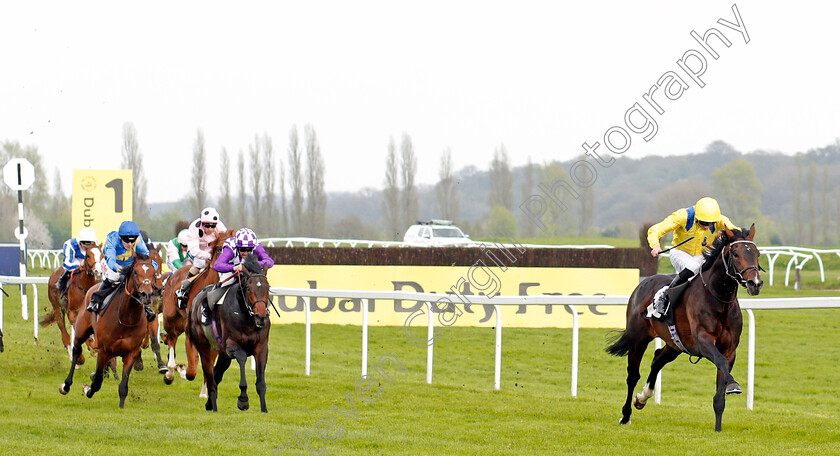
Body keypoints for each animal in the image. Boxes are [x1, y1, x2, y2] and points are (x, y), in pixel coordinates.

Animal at [59, 255, 161, 408]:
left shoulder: (131, 352)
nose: (146, 294)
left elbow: (123, 386)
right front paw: (87, 389)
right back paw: (66, 385)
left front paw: (121, 408)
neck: (126, 318)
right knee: (76, 351)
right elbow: (96, 383)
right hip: (81, 330)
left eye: (154, 273)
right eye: (135, 272)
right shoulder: (104, 350)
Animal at [160, 228, 233, 388]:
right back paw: (170, 373)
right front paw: (181, 370)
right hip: (170, 318)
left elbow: (209, 367)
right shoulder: (190, 334)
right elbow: (192, 371)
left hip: (180, 322)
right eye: (220, 249)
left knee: (171, 337)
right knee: (172, 339)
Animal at [187, 253, 272, 414]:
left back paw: (209, 404)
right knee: (210, 377)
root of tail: (195, 300)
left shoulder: (261, 347)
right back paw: (213, 405)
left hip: (223, 355)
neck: (247, 319)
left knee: (216, 374)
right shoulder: (231, 345)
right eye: (248, 288)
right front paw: (243, 400)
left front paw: (264, 409)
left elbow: (261, 382)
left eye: (267, 287)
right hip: (205, 347)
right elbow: (242, 357)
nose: (261, 317)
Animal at [608, 226, 764, 432]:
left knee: (657, 360)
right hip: (638, 339)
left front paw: (718, 428)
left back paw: (642, 398)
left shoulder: (730, 350)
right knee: (632, 375)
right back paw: (625, 416)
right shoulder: (703, 342)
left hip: (675, 345)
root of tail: (642, 284)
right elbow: (721, 362)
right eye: (736, 253)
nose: (755, 283)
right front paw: (733, 385)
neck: (719, 299)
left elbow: (720, 390)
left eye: (757, 253)